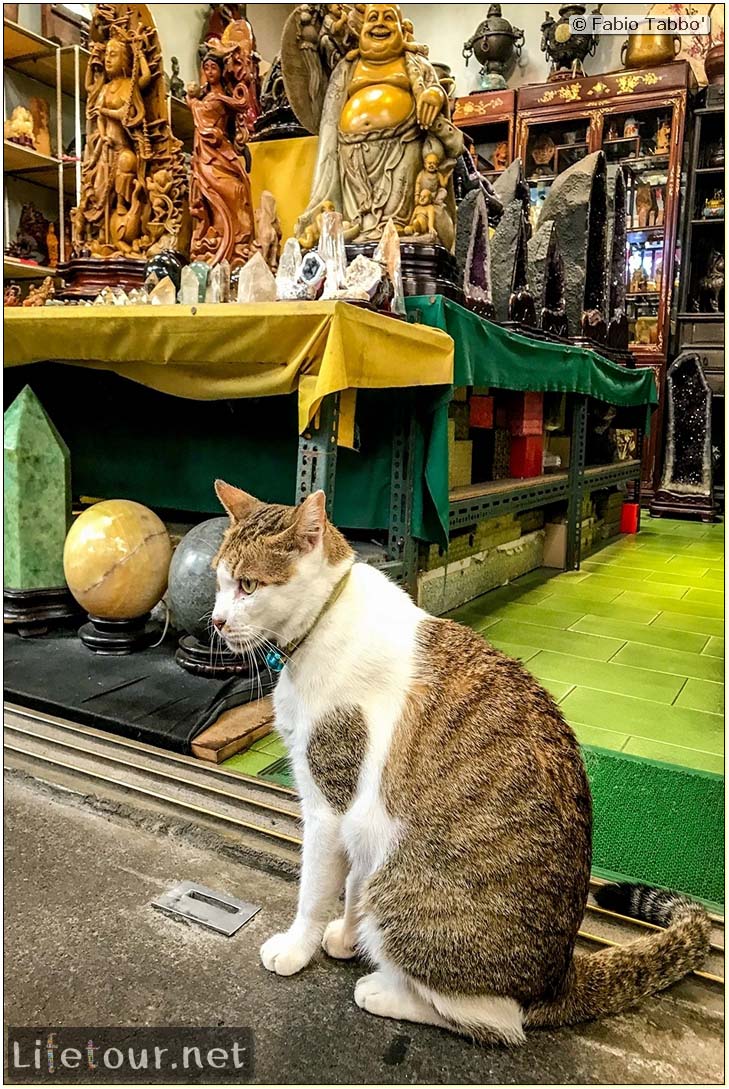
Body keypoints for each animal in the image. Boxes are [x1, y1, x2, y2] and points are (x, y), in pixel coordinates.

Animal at [209, 485, 706, 1045]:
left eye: (248, 585)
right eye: (218, 581)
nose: (216, 621)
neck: (320, 626)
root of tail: (559, 978)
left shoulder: (329, 805)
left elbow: (314, 892)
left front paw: (297, 948)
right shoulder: (359, 820)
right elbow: (354, 882)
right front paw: (347, 936)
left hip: (406, 893)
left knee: (496, 1020)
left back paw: (385, 991)